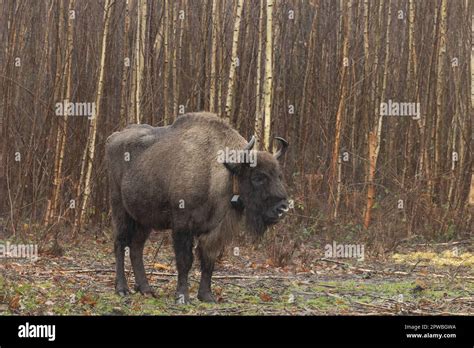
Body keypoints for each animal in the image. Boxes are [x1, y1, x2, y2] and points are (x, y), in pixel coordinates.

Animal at [104, 111, 288, 302]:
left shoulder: (214, 229)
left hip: (144, 220)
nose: (283, 208)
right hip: (120, 210)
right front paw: (182, 297)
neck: (219, 171)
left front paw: (207, 296)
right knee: (120, 244)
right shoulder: (182, 225)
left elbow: (208, 261)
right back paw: (122, 289)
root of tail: (113, 138)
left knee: (136, 248)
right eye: (258, 177)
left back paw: (146, 289)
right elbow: (185, 261)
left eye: (279, 175)